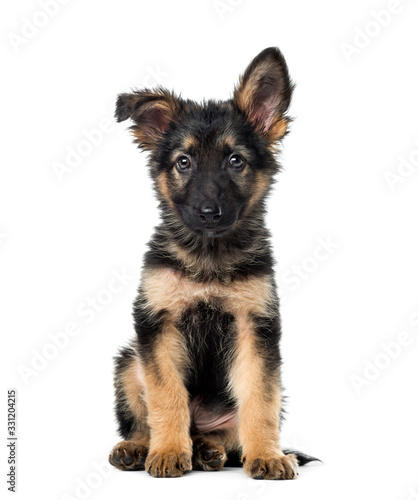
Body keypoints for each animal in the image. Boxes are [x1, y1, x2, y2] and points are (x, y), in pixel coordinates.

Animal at [109, 47, 318, 480]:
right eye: (183, 162)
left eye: (235, 161)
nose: (208, 213)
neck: (208, 256)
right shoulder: (157, 325)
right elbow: (165, 396)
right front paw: (168, 451)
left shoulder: (255, 327)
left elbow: (260, 399)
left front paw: (267, 455)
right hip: (129, 361)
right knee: (144, 419)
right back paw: (141, 448)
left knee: (228, 434)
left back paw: (211, 450)